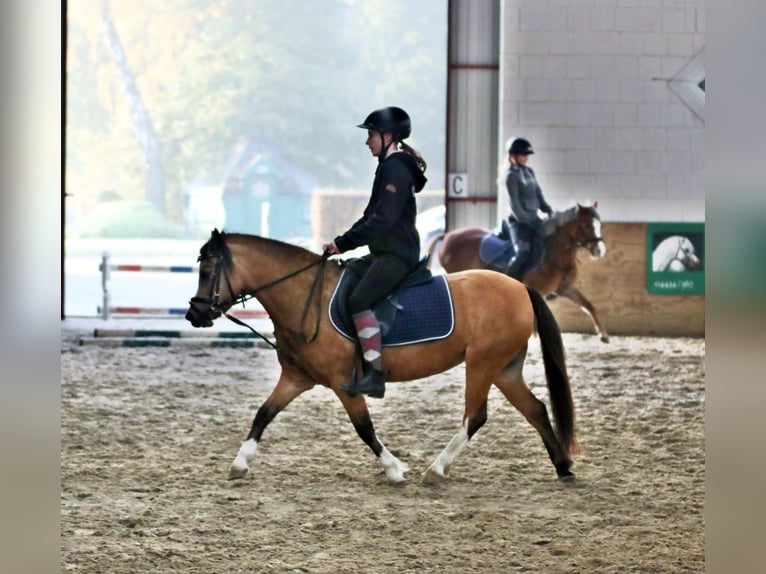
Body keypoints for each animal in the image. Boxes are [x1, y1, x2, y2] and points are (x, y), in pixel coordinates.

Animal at [188, 230, 584, 486]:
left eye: (207, 272)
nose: (195, 314)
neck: (305, 297)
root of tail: (519, 287)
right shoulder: (296, 378)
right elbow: (264, 414)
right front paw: (240, 463)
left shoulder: (344, 385)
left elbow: (364, 428)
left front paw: (395, 470)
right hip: (504, 368)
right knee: (535, 409)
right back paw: (563, 468)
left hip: (483, 365)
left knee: (476, 416)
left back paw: (436, 470)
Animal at [426, 205, 612, 344]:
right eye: (586, 225)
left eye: (599, 224)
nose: (599, 250)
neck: (554, 251)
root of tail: (448, 235)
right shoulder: (536, 289)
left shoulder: (565, 288)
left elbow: (588, 305)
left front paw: (603, 334)